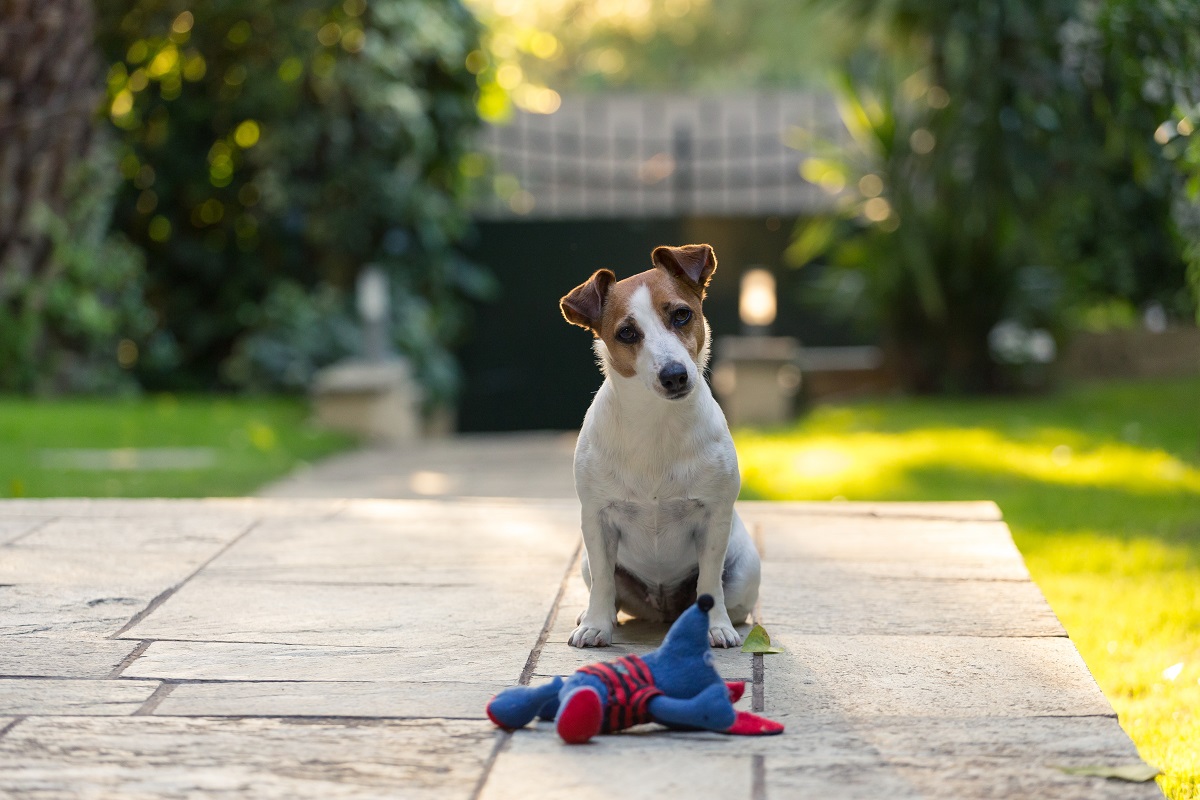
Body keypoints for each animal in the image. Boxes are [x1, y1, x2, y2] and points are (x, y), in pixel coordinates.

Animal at [559, 244, 758, 652]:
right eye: (627, 332)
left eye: (682, 314)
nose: (675, 375)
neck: (657, 423)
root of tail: (664, 610)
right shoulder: (597, 520)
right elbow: (603, 581)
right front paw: (596, 625)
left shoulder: (713, 519)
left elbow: (709, 583)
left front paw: (717, 627)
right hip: (588, 562)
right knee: (607, 589)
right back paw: (593, 615)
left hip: (747, 569)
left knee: (732, 600)